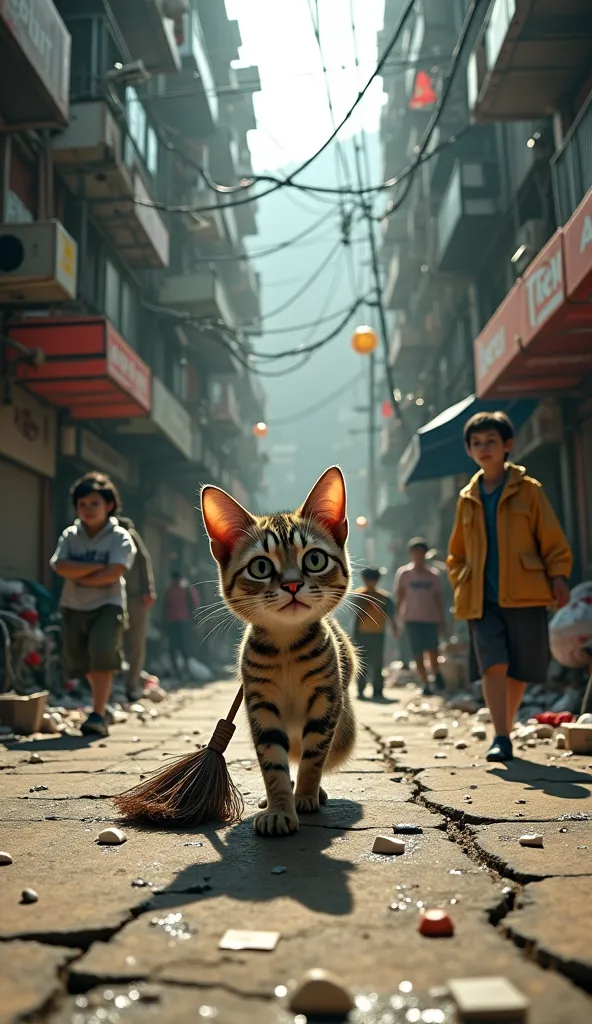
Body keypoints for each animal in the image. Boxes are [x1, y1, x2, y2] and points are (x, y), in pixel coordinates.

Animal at [200, 468, 354, 835]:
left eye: (314, 559)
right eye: (260, 567)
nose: (292, 584)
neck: (286, 648)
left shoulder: (327, 702)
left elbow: (314, 758)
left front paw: (306, 796)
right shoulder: (261, 706)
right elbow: (273, 764)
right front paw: (280, 807)